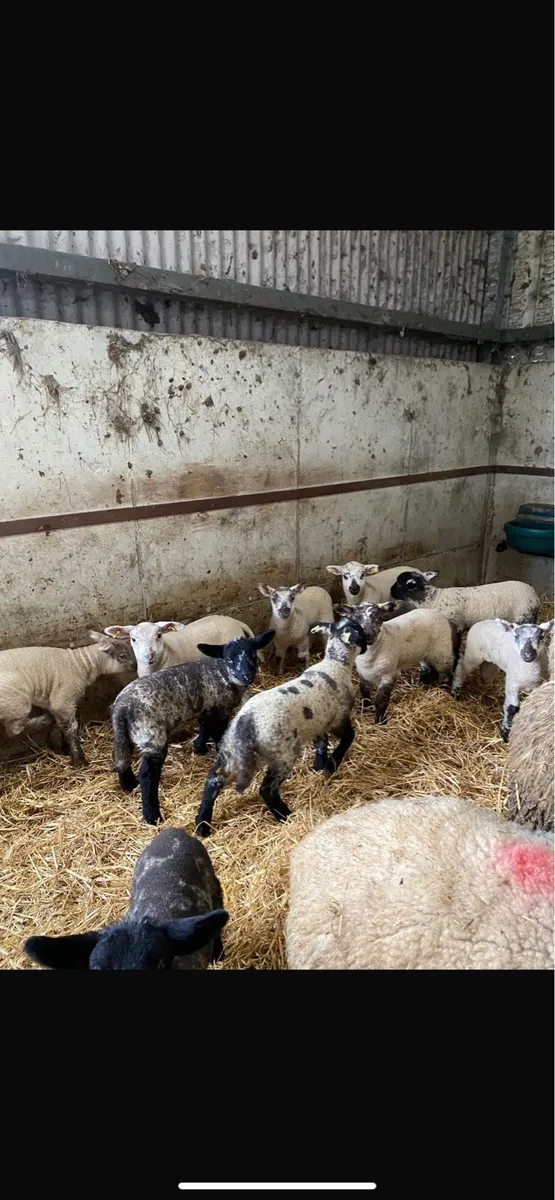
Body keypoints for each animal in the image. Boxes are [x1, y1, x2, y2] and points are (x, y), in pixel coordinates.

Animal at [0, 632, 135, 767]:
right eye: (122, 655)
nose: (134, 665)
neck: (80, 664)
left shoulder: (51, 700)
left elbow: (59, 725)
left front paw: (60, 747)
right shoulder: (64, 700)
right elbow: (71, 728)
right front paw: (78, 759)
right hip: (16, 702)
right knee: (14, 730)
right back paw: (46, 720)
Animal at [111, 629, 275, 825]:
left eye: (253, 655)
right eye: (229, 659)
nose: (246, 676)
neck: (222, 673)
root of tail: (122, 707)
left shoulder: (206, 707)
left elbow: (204, 727)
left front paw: (199, 747)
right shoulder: (220, 709)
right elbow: (218, 734)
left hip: (125, 732)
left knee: (121, 758)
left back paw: (130, 785)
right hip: (151, 733)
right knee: (147, 773)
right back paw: (152, 815)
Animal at [195, 617, 368, 837]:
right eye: (360, 631)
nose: (369, 644)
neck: (335, 664)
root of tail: (247, 722)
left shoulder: (318, 721)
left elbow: (321, 743)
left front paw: (319, 766)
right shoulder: (339, 718)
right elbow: (348, 738)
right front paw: (331, 766)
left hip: (230, 749)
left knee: (213, 781)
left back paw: (202, 824)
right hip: (281, 753)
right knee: (267, 789)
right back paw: (285, 815)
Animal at [390, 569, 540, 631]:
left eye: (400, 583)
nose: (391, 591)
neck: (432, 600)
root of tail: (536, 597)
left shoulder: (456, 625)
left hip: (523, 617)